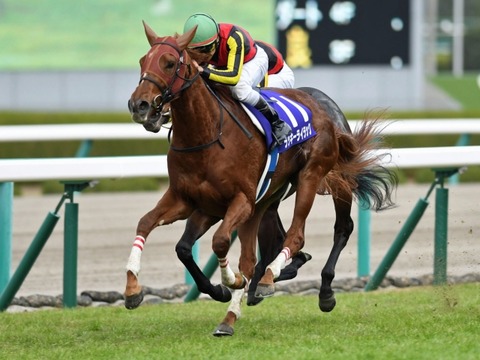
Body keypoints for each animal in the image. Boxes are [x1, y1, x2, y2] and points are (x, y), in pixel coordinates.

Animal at [125, 22, 396, 336]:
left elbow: (220, 242)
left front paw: (231, 282)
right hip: (268, 200)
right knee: (267, 246)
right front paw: (133, 290)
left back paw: (308, 288)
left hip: (316, 176)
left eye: (169, 63)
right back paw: (263, 285)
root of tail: (325, 109)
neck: (207, 136)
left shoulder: (241, 200)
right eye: (142, 61)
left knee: (319, 231)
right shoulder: (190, 200)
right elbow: (154, 229)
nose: (140, 105)